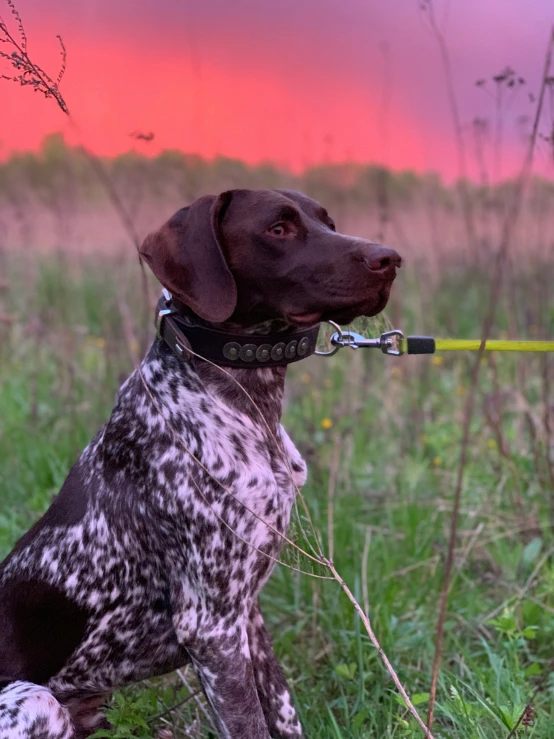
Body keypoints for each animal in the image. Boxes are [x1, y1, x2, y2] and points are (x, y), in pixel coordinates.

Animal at [0, 191, 398, 739]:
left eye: (329, 223)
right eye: (278, 229)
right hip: (38, 701)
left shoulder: (246, 617)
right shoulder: (211, 625)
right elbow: (249, 725)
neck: (251, 407)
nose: (390, 259)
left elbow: (282, 713)